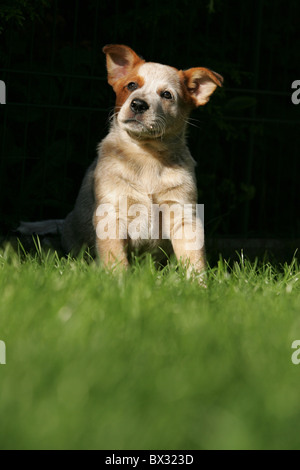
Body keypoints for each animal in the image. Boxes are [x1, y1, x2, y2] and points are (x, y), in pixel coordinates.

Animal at [18, 44, 223, 276]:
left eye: (167, 95)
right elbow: (115, 257)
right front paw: (118, 281)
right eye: (131, 85)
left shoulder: (183, 214)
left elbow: (194, 259)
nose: (138, 104)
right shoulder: (111, 213)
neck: (147, 156)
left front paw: (197, 284)